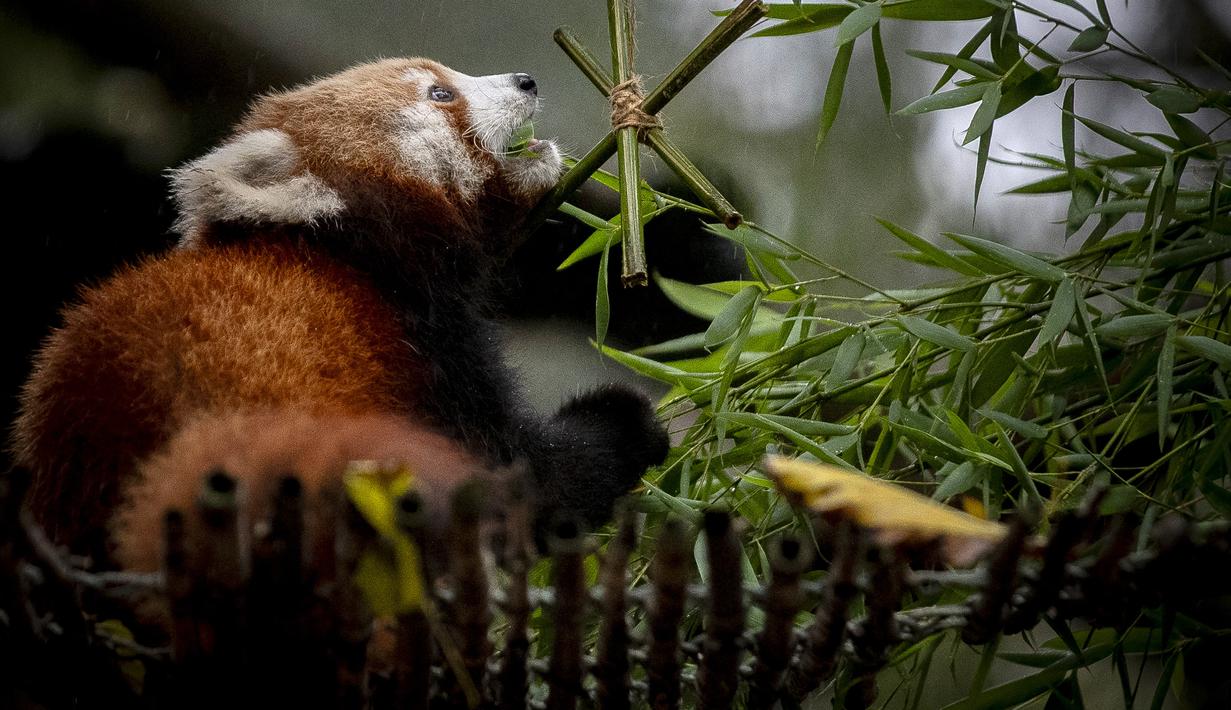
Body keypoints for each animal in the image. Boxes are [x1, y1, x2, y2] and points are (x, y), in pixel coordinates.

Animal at [10, 57, 668, 571]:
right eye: (439, 93)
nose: (526, 80)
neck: (346, 252)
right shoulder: (419, 343)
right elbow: (519, 475)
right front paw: (622, 424)